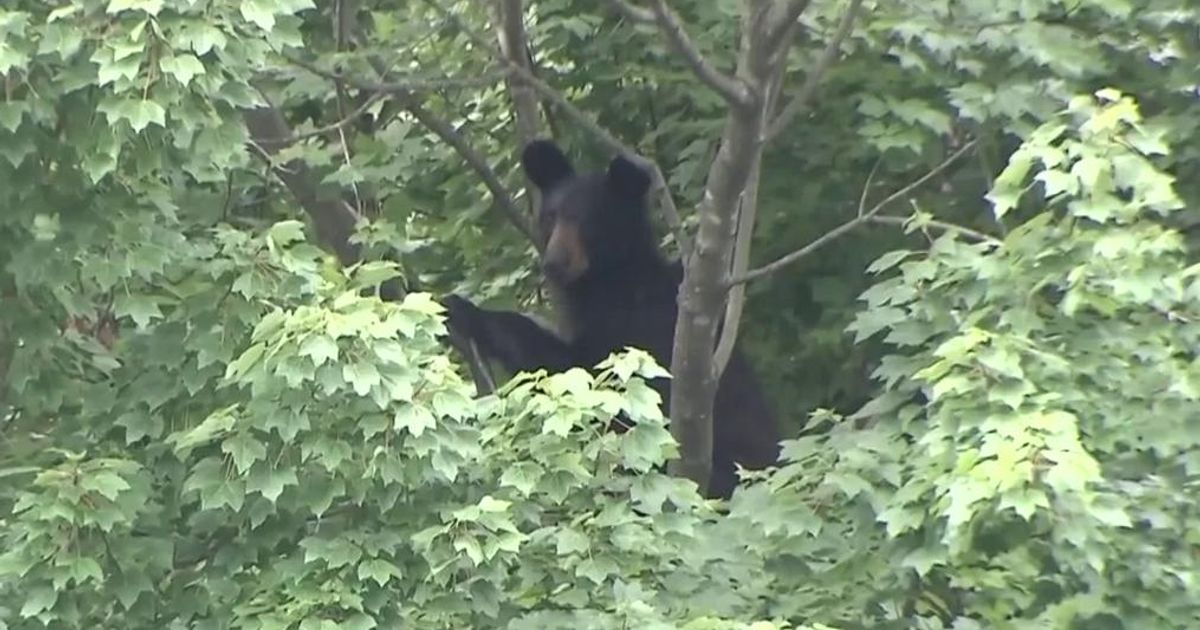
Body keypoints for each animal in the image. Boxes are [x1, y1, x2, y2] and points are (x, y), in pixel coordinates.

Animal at [443, 139, 780, 499]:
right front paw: (457, 308)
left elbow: (585, 371)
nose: (554, 263)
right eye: (550, 217)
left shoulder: (646, 329)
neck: (609, 283)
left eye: (588, 219)